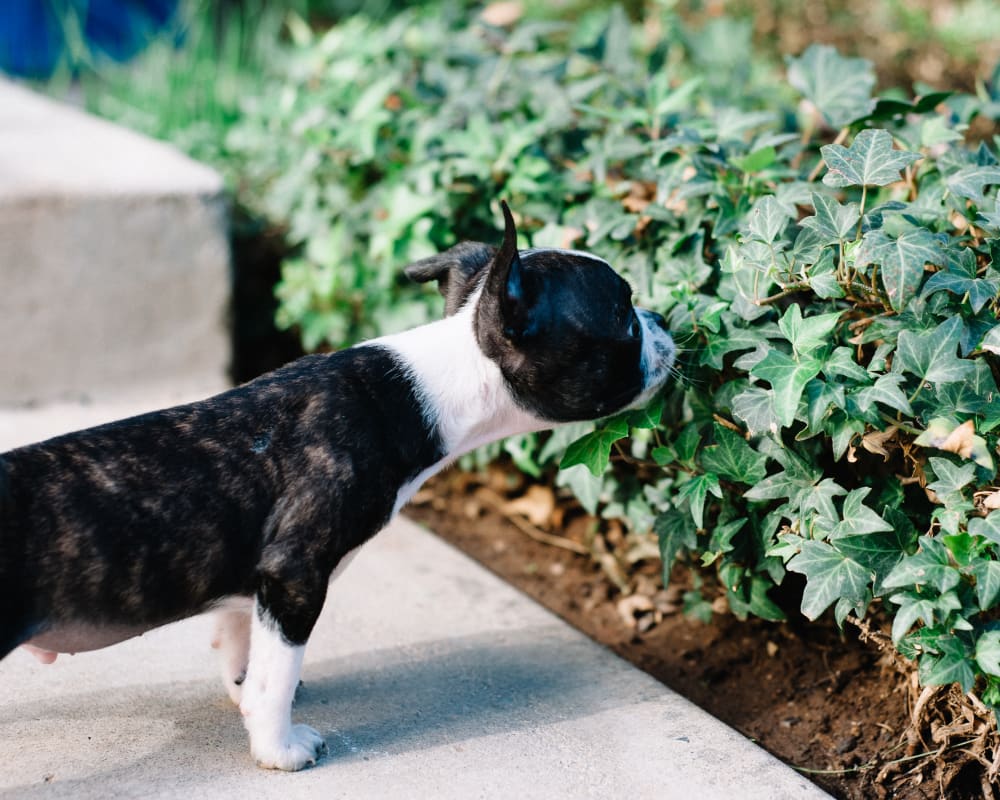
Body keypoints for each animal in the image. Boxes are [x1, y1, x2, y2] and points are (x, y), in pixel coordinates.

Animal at [0, 203, 676, 772]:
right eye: (624, 315)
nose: (665, 319)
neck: (436, 382)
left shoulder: (256, 583)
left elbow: (245, 648)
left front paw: (245, 695)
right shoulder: (294, 573)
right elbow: (275, 676)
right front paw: (278, 748)